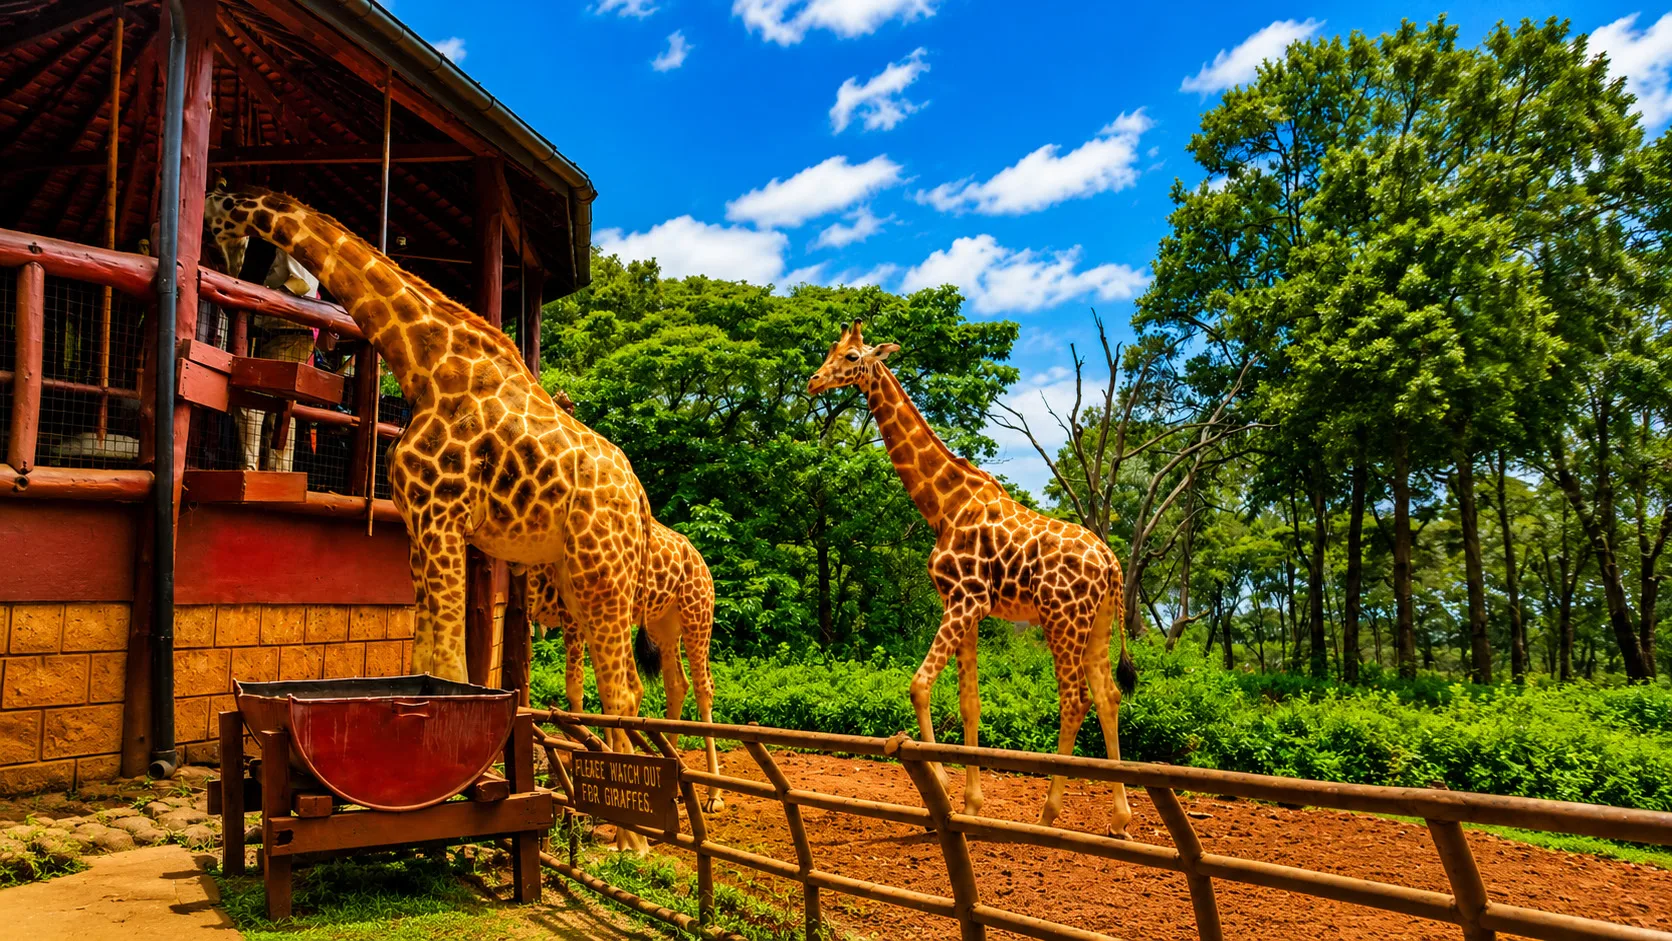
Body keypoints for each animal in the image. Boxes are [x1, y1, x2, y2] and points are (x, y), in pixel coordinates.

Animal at [202, 189, 656, 811]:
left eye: (214, 215)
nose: (219, 263)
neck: (425, 361)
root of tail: (639, 500)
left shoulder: (443, 517)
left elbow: (452, 662)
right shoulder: (419, 523)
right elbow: (426, 659)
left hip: (600, 571)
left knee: (623, 687)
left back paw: (626, 825)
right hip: (576, 574)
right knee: (621, 682)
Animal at [808, 321, 1139, 836]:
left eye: (853, 356)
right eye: (830, 350)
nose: (814, 381)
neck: (943, 505)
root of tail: (1112, 564)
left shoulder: (965, 600)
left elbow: (919, 685)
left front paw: (941, 785)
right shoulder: (966, 606)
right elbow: (970, 703)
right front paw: (971, 803)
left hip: (1061, 619)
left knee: (1074, 700)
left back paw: (1049, 814)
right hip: (1098, 622)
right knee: (1109, 695)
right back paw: (1120, 819)